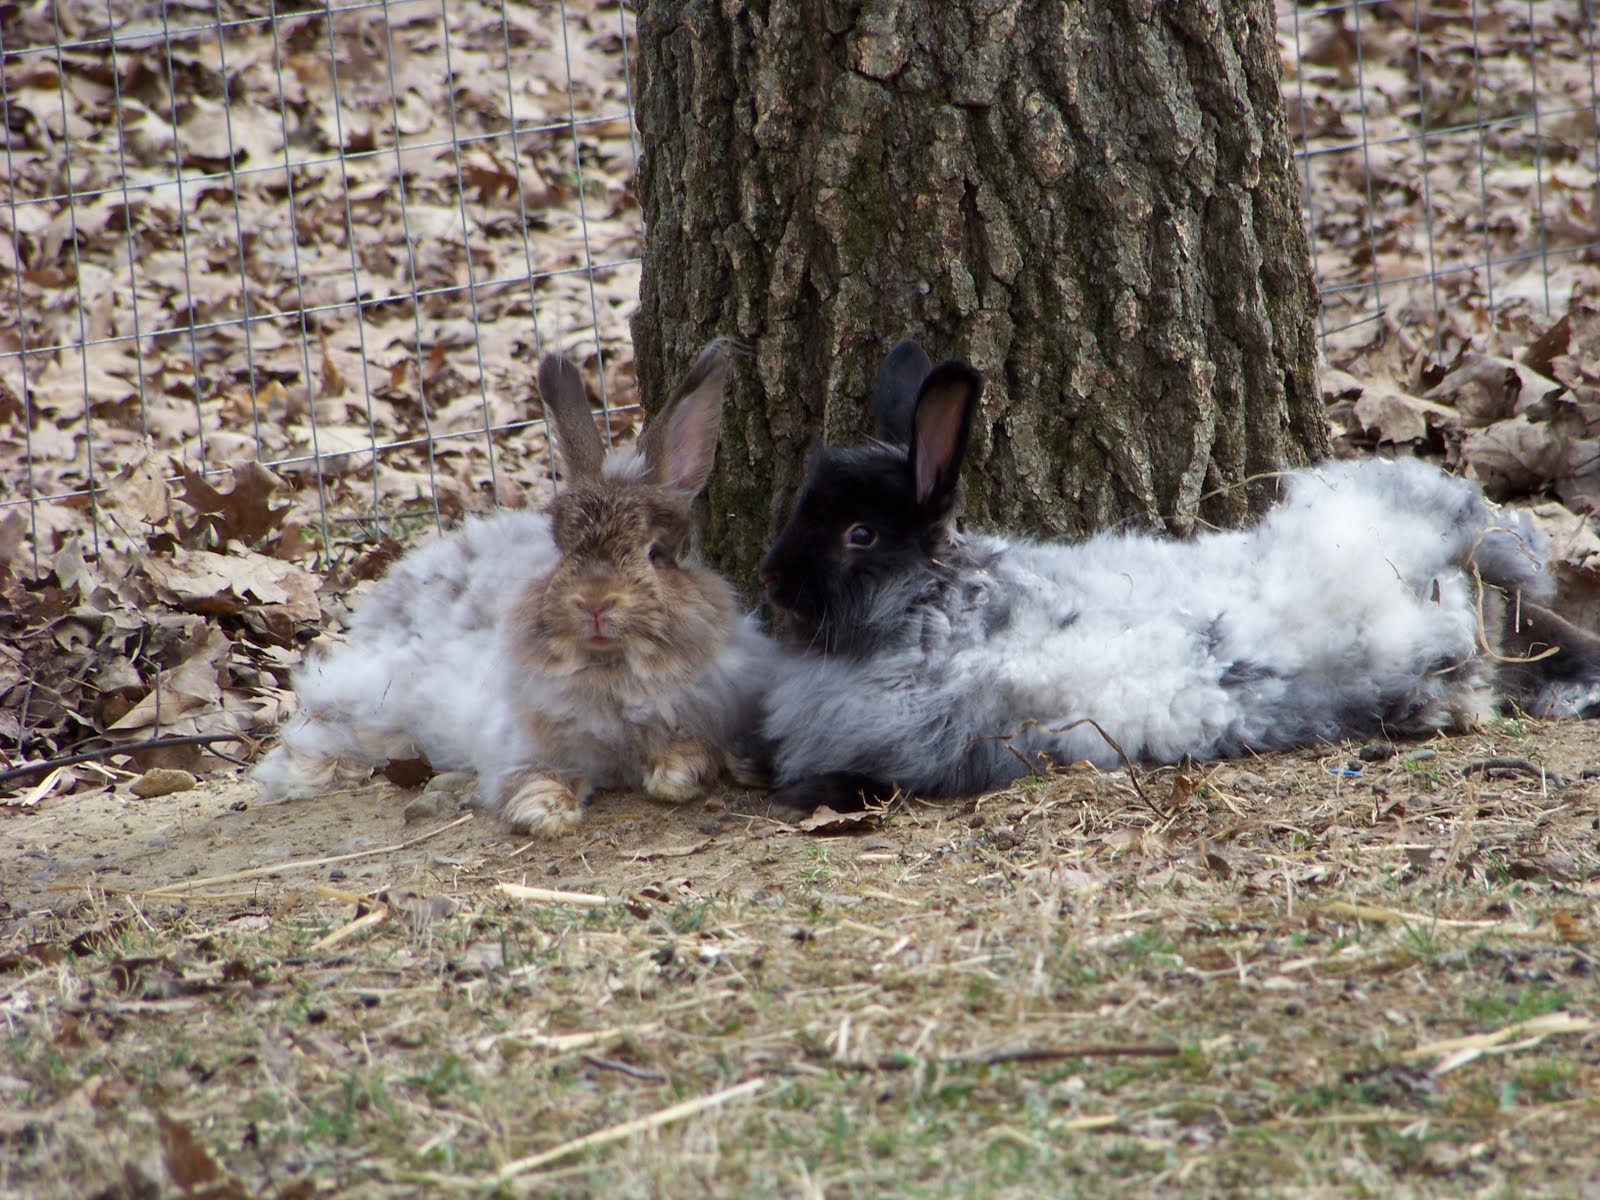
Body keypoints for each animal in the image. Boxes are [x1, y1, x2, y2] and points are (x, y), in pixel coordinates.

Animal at [254, 339, 776, 836]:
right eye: (563, 550)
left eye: (656, 553)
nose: (595, 603)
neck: (614, 672)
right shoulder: (519, 747)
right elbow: (530, 778)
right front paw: (547, 815)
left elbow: (689, 754)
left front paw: (672, 777)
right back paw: (308, 772)